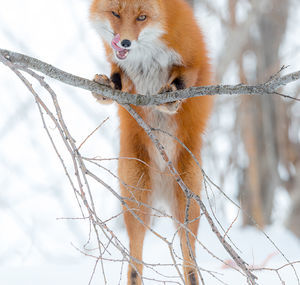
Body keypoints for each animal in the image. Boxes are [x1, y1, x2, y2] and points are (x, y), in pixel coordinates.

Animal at [89, 1, 213, 282]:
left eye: (142, 17)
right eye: (115, 13)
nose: (124, 42)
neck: (147, 55)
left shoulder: (193, 59)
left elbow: (183, 81)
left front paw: (171, 98)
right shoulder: (123, 70)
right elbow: (118, 81)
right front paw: (105, 89)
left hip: (188, 205)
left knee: (189, 262)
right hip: (136, 201)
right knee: (136, 263)